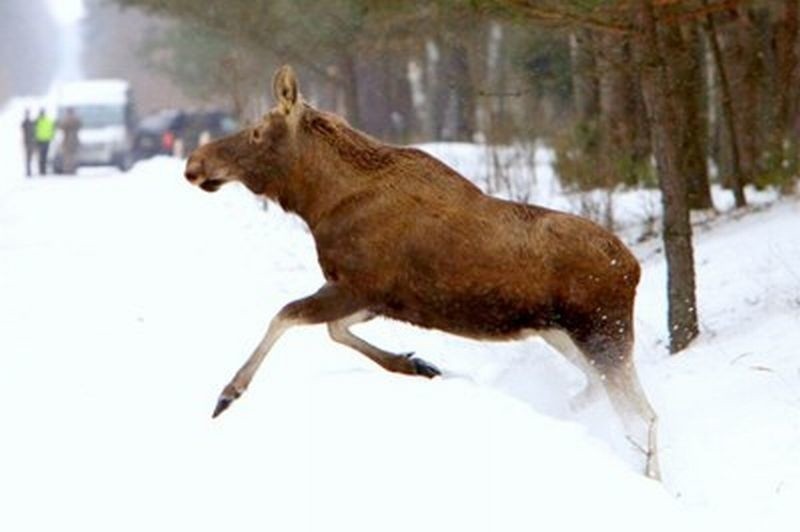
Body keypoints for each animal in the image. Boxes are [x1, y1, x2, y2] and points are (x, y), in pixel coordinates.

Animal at [184, 65, 660, 478]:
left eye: (256, 131)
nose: (194, 163)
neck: (318, 202)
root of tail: (635, 267)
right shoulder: (378, 296)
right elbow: (333, 330)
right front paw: (415, 364)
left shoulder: (357, 285)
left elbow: (284, 315)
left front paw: (228, 393)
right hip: (562, 332)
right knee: (604, 391)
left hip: (603, 333)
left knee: (643, 413)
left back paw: (648, 473)